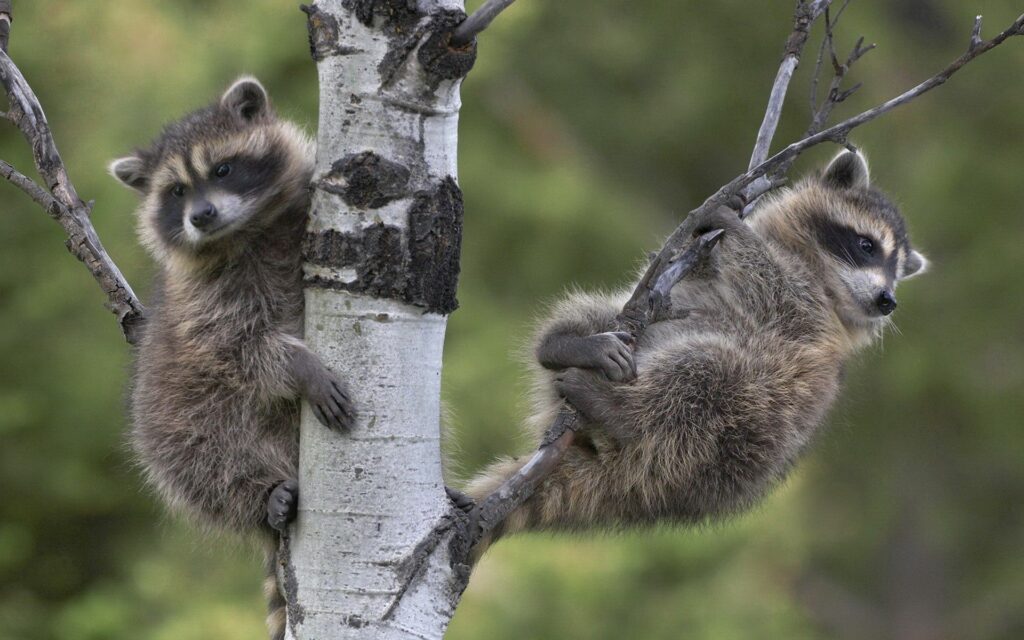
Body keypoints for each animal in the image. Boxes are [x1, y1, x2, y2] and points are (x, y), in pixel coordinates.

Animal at [109, 77, 354, 640]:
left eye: (222, 169)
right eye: (177, 192)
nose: (201, 216)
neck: (245, 231)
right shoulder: (203, 303)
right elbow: (238, 348)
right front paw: (299, 367)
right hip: (172, 415)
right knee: (198, 460)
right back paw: (261, 496)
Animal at [465, 150, 927, 551]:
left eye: (897, 272)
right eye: (868, 246)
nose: (888, 300)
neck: (818, 272)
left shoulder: (812, 321)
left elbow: (776, 290)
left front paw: (735, 230)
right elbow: (682, 267)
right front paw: (722, 222)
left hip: (739, 436)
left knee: (705, 379)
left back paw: (622, 411)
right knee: (602, 313)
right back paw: (568, 344)